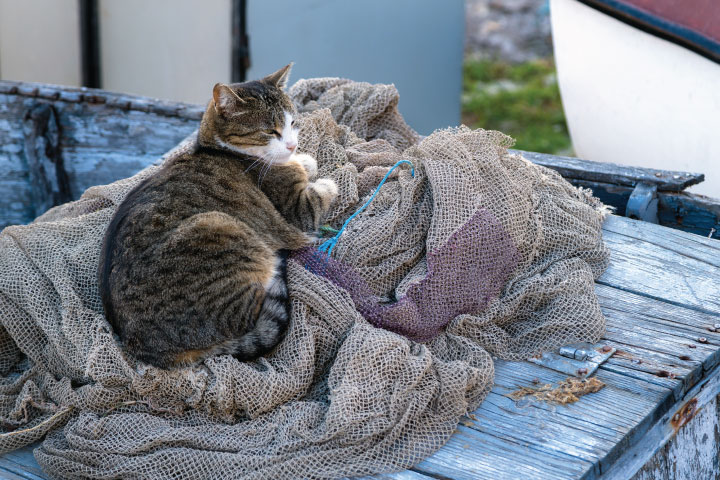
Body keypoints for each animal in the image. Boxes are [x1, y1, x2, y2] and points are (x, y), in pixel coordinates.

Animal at [96, 64, 340, 368]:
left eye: (293, 123)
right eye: (270, 131)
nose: (292, 146)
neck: (218, 148)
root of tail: (145, 349)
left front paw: (305, 160)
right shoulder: (298, 210)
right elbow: (322, 191)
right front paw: (326, 177)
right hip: (220, 226)